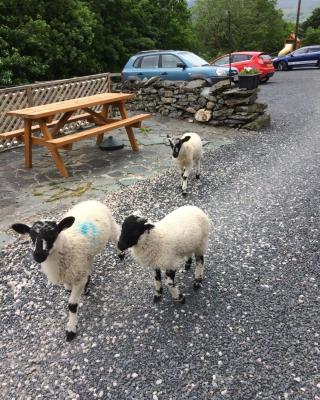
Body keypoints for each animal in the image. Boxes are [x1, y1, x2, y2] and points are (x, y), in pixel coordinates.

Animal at [11, 200, 121, 340]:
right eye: (31, 236)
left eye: (53, 234)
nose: (38, 255)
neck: (67, 245)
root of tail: (91, 201)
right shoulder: (70, 276)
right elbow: (69, 291)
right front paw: (85, 288)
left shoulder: (78, 277)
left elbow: (72, 305)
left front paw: (71, 329)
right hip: (88, 254)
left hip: (111, 227)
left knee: (118, 233)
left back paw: (121, 253)